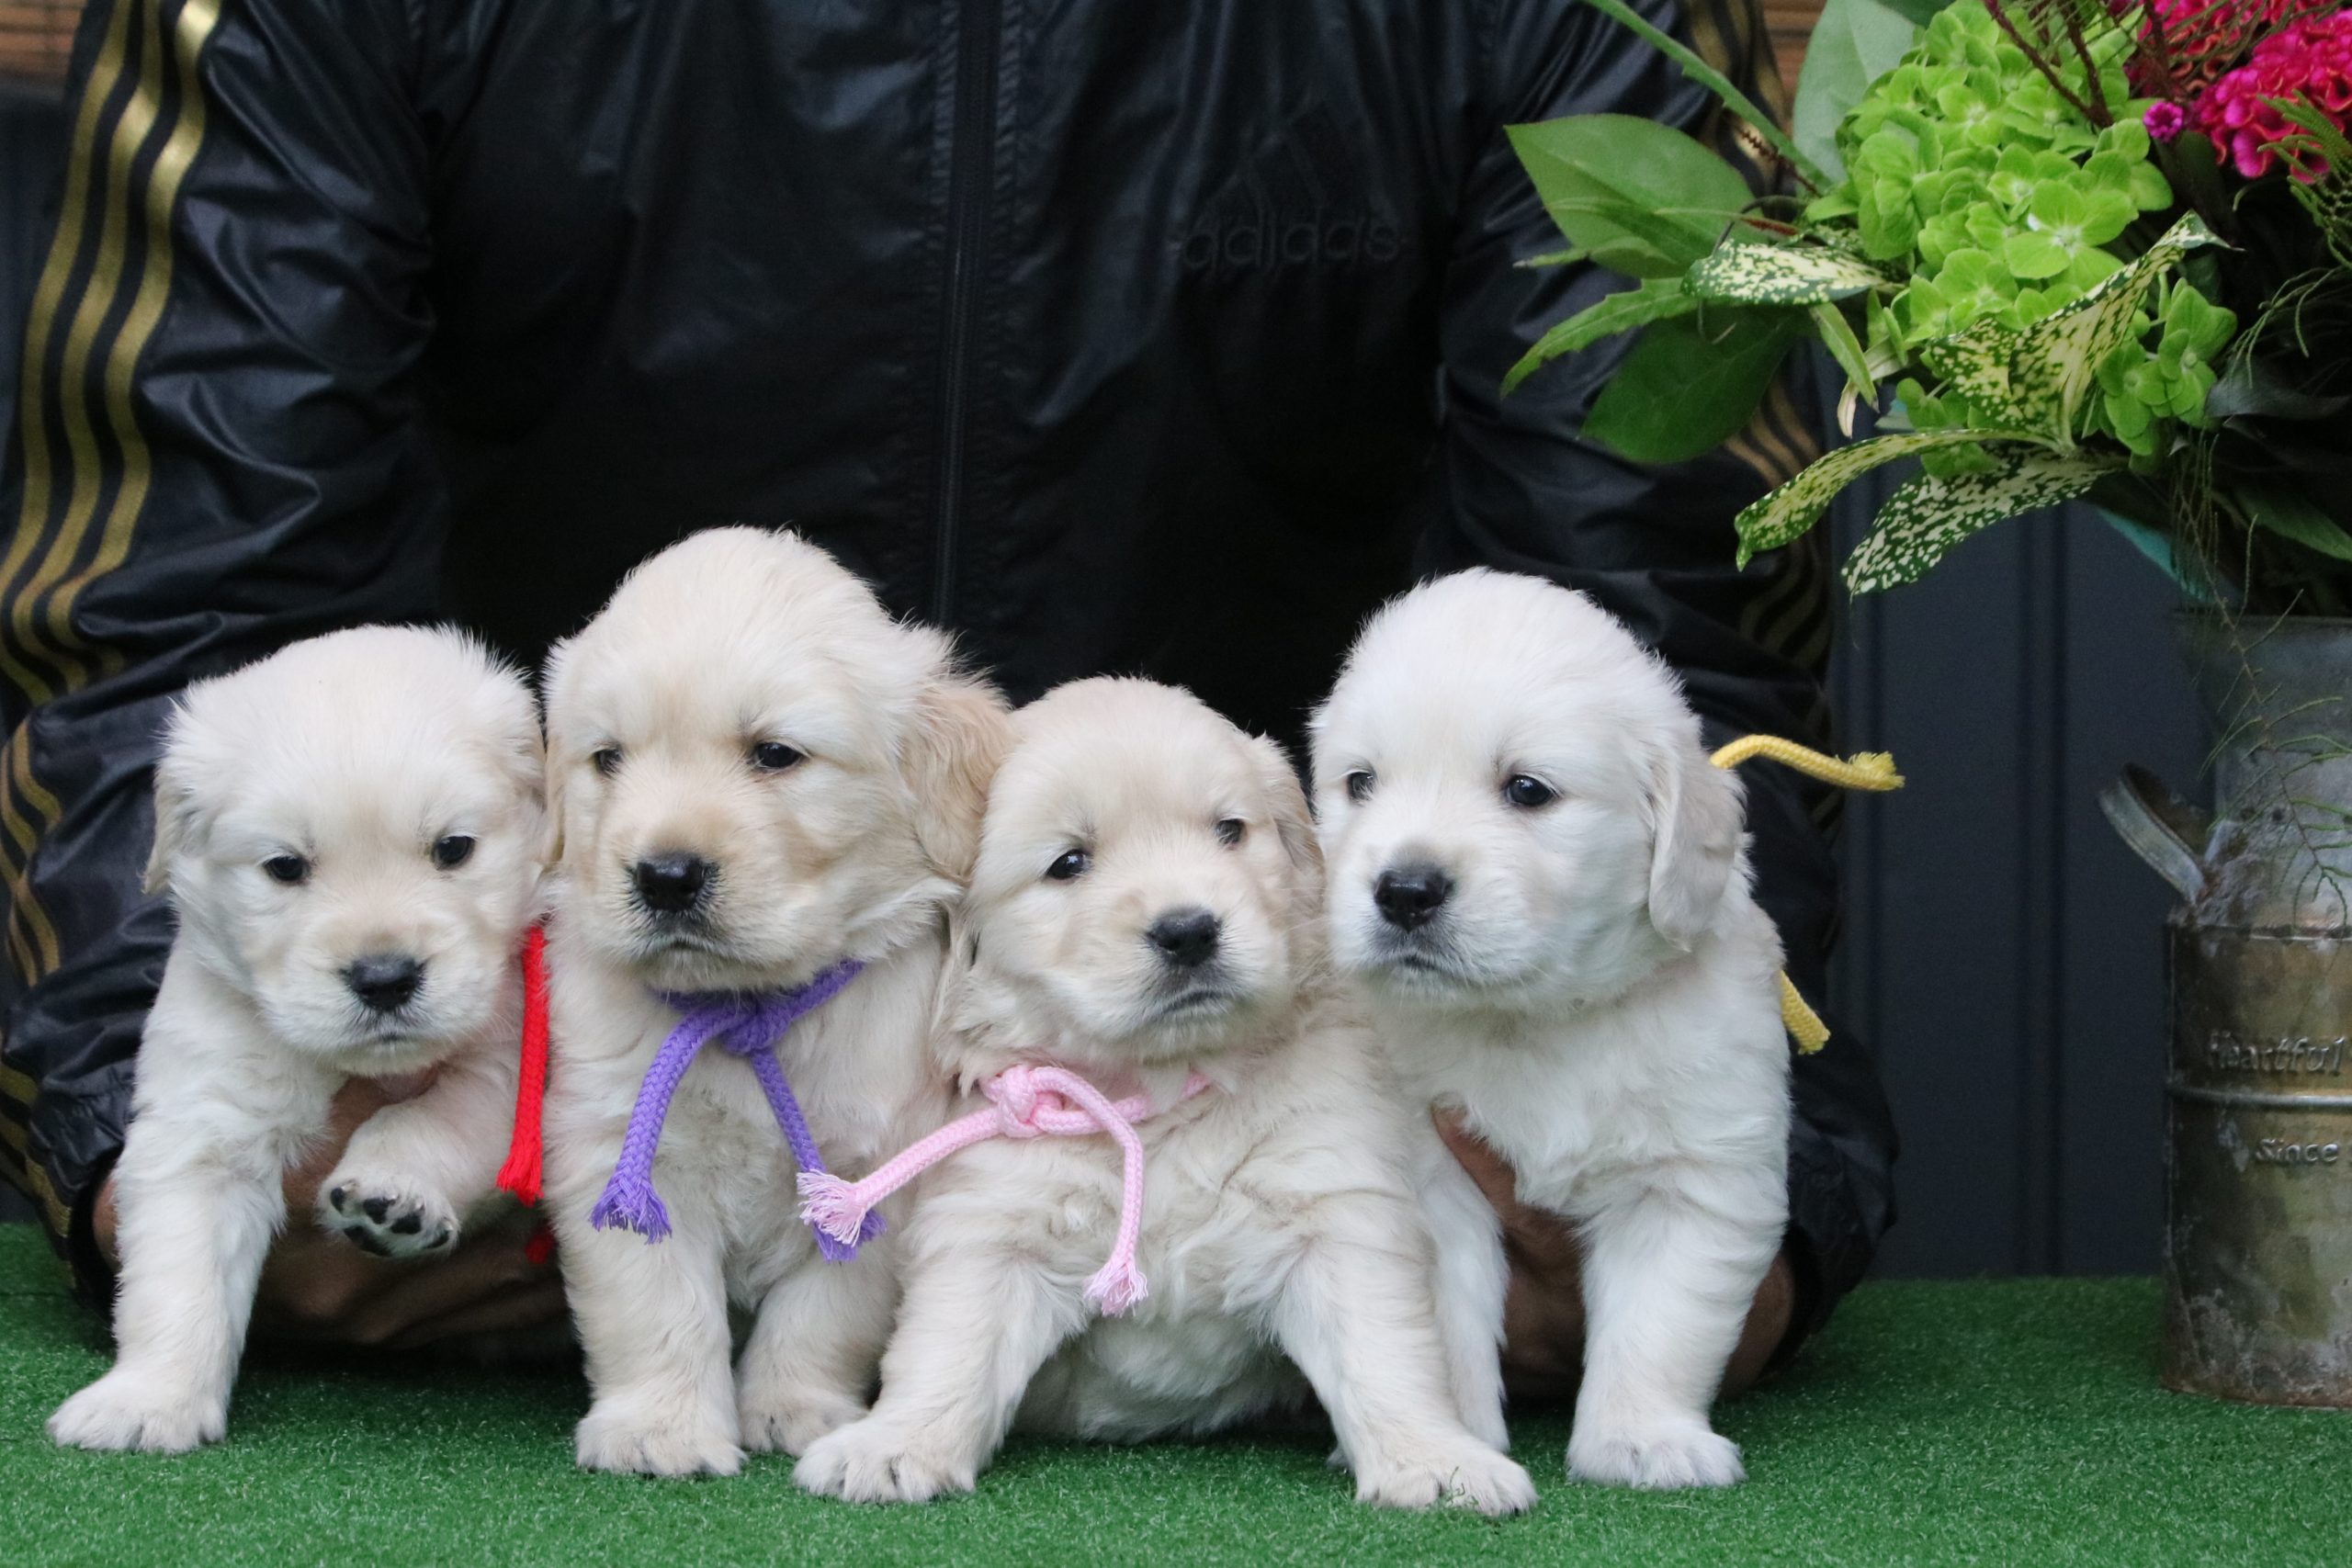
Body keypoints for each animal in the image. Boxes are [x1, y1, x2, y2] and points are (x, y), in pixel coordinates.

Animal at [51, 620, 538, 1457]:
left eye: (453, 849)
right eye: (285, 866)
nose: (384, 977)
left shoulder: (518, 1058)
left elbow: (434, 1115)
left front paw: (392, 1193)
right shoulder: (202, 1123)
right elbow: (177, 1274)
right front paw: (148, 1400)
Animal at [538, 533, 1006, 1476]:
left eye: (776, 754)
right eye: (608, 758)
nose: (665, 875)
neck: (745, 1006)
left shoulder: (875, 1173)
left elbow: (823, 1314)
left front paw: (797, 1409)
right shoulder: (618, 1150)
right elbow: (655, 1307)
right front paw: (662, 1429)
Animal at [790, 682, 1533, 1514]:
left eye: (1229, 830)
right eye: (1069, 863)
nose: (1189, 931)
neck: (1161, 1091)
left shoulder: (1332, 1204)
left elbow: (1384, 1348)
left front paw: (1435, 1458)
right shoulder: (994, 1223)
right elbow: (950, 1343)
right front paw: (894, 1444)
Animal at [1317, 570, 1787, 1495]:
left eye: (1527, 790)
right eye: (1360, 783)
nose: (1405, 889)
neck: (1528, 1016)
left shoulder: (1691, 1172)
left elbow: (1659, 1321)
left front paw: (1643, 1439)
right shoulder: (1423, 1176)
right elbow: (1435, 1329)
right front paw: (1456, 1442)